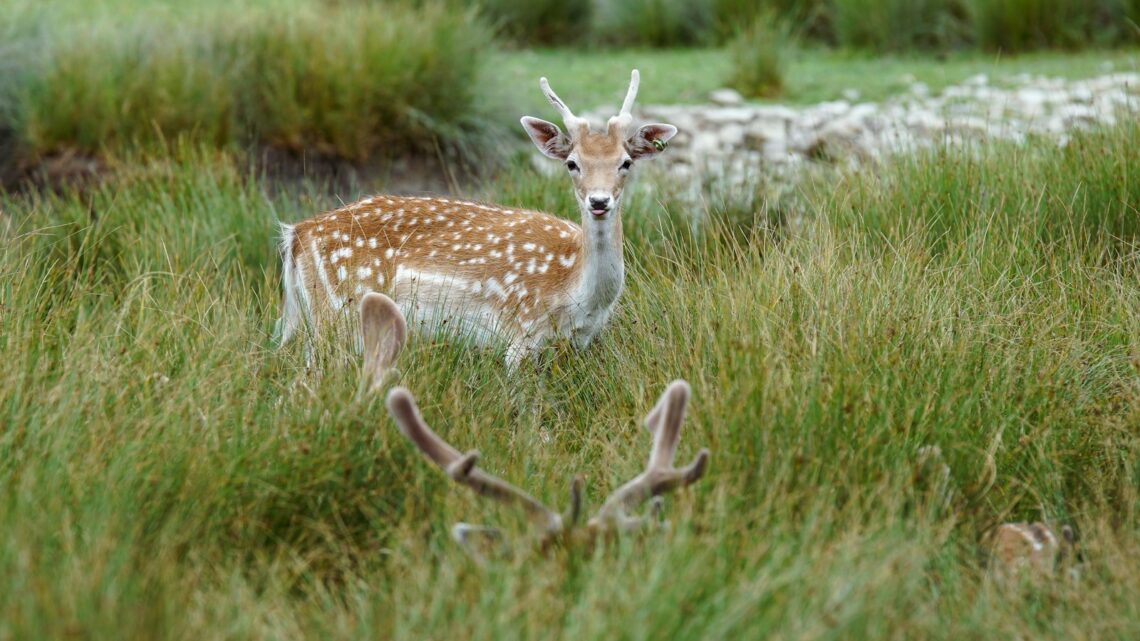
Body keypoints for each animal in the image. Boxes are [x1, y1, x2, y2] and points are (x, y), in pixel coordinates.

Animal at [277, 68, 674, 369]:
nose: (599, 201)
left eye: (626, 162)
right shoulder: (521, 332)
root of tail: (297, 233)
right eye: (572, 163)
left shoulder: (581, 343)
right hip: (336, 313)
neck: (579, 295)